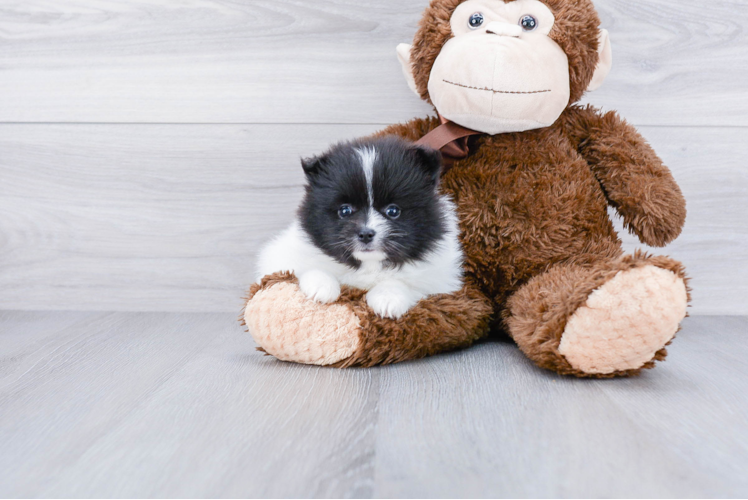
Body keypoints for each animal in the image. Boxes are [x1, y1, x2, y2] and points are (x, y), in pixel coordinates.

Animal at [260, 135, 464, 318]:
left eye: (393, 211)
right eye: (344, 211)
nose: (365, 234)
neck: (368, 266)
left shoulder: (439, 280)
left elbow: (406, 283)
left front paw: (387, 298)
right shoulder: (281, 256)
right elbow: (305, 269)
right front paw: (321, 286)